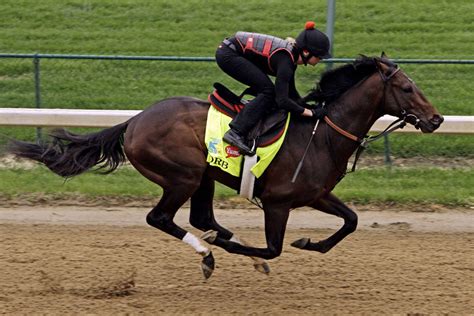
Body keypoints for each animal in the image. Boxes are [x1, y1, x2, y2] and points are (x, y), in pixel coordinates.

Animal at [8, 54, 444, 278]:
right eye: (407, 88)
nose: (437, 119)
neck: (321, 133)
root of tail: (133, 121)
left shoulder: (317, 194)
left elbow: (351, 221)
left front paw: (310, 243)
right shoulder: (278, 202)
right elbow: (273, 249)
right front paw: (245, 250)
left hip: (203, 177)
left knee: (202, 217)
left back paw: (219, 242)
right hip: (181, 175)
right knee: (161, 218)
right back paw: (208, 252)